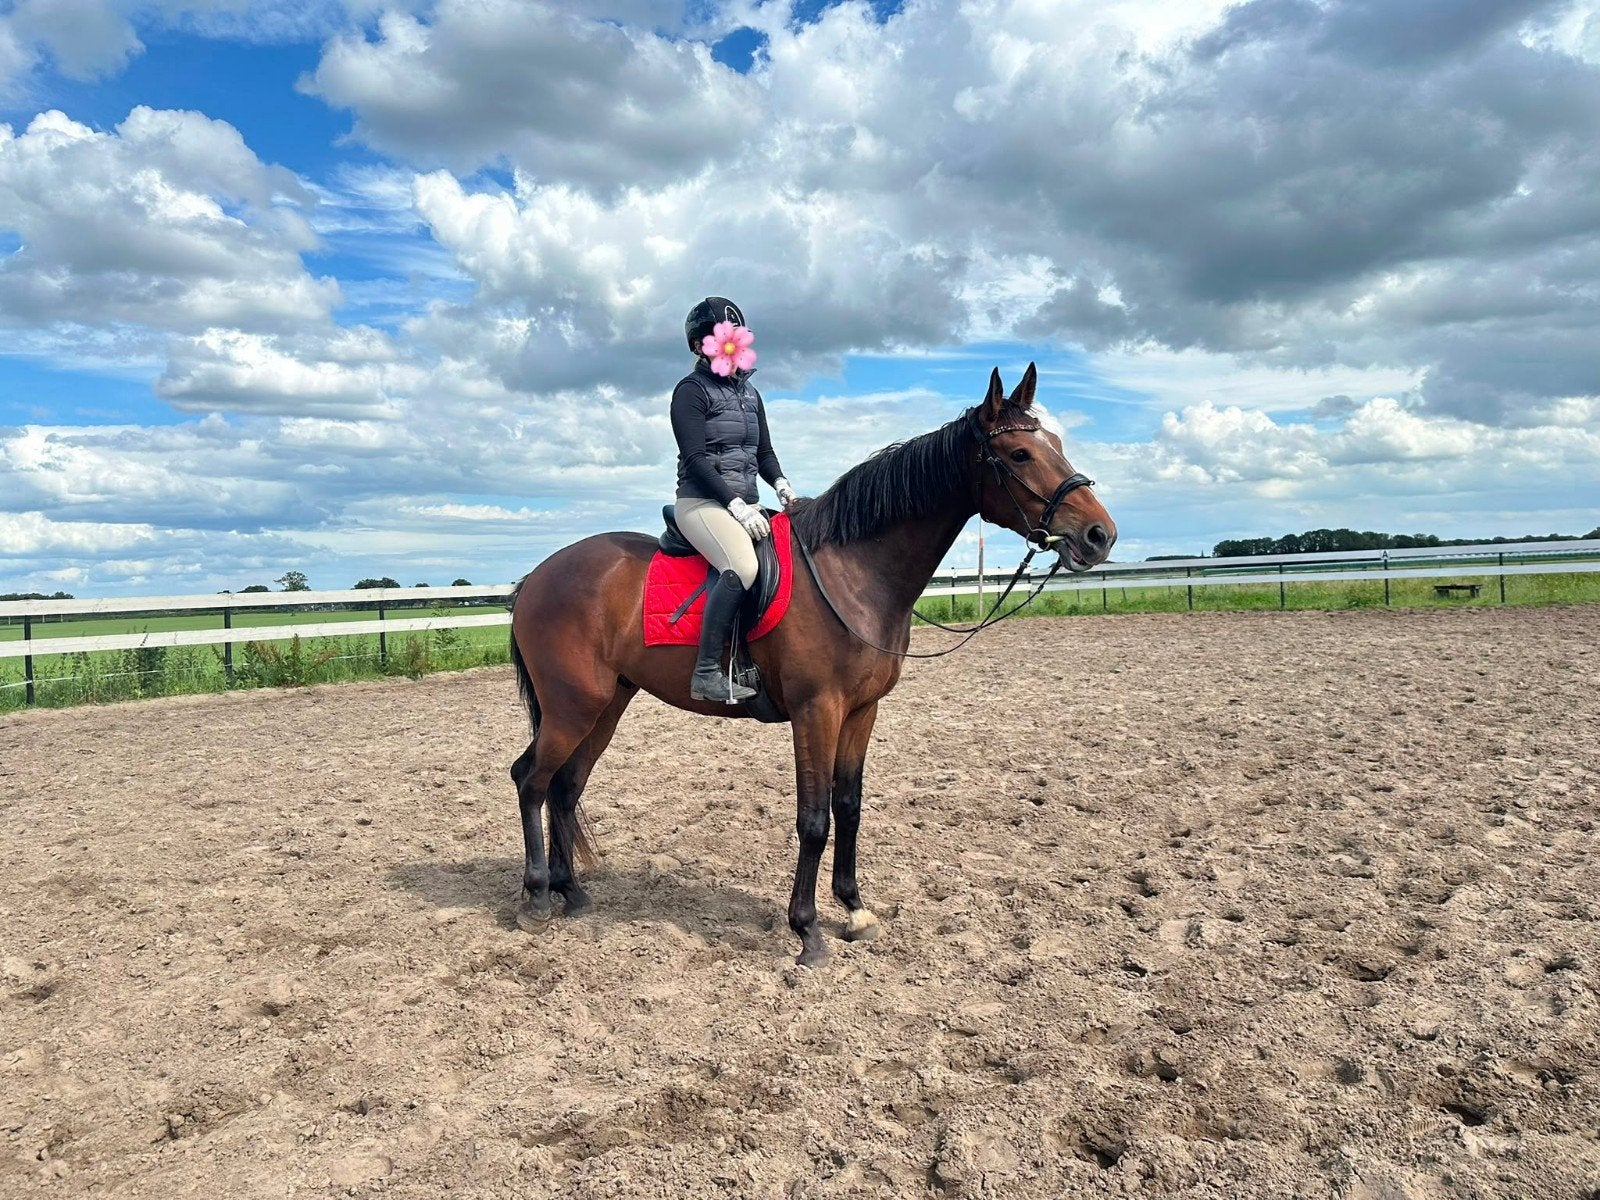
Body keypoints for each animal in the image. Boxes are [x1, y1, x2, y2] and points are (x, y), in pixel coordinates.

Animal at [507, 363, 1117, 965]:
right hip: (573, 706)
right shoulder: (816, 711)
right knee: (531, 779)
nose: (1100, 535)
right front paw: (808, 932)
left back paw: (571, 893)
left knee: (564, 787)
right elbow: (814, 818)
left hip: (605, 704)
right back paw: (536, 898)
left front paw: (854, 910)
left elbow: (848, 806)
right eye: (1019, 454)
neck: (854, 571)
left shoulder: (862, 711)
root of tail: (535, 577)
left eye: (1057, 444)